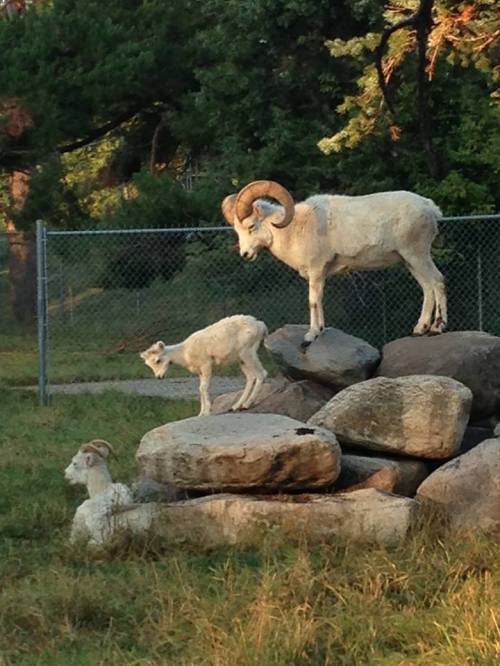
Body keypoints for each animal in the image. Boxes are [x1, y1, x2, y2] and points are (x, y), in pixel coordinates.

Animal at [140, 315, 268, 416]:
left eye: (158, 360)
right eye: (149, 365)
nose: (159, 377)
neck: (184, 354)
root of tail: (261, 325)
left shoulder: (206, 365)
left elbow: (203, 388)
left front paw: (207, 412)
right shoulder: (199, 371)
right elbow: (200, 388)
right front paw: (201, 413)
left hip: (247, 352)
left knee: (261, 373)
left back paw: (246, 404)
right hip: (241, 359)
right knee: (251, 377)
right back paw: (236, 406)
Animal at [222, 181, 447, 345]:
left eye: (251, 226)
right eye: (237, 230)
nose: (245, 254)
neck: (294, 230)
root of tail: (430, 208)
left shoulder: (316, 270)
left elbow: (313, 301)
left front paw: (310, 336)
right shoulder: (320, 274)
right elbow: (320, 300)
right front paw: (320, 330)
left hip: (417, 255)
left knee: (438, 281)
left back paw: (437, 328)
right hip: (410, 261)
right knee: (427, 288)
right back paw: (420, 330)